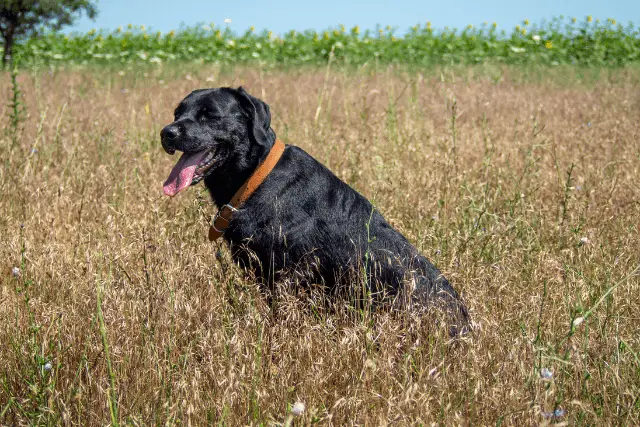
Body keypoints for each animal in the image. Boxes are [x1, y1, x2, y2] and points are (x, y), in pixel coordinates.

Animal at [161, 86, 470, 334]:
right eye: (177, 113)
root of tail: (466, 326)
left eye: (209, 114)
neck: (256, 176)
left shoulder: (284, 277)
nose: (167, 132)